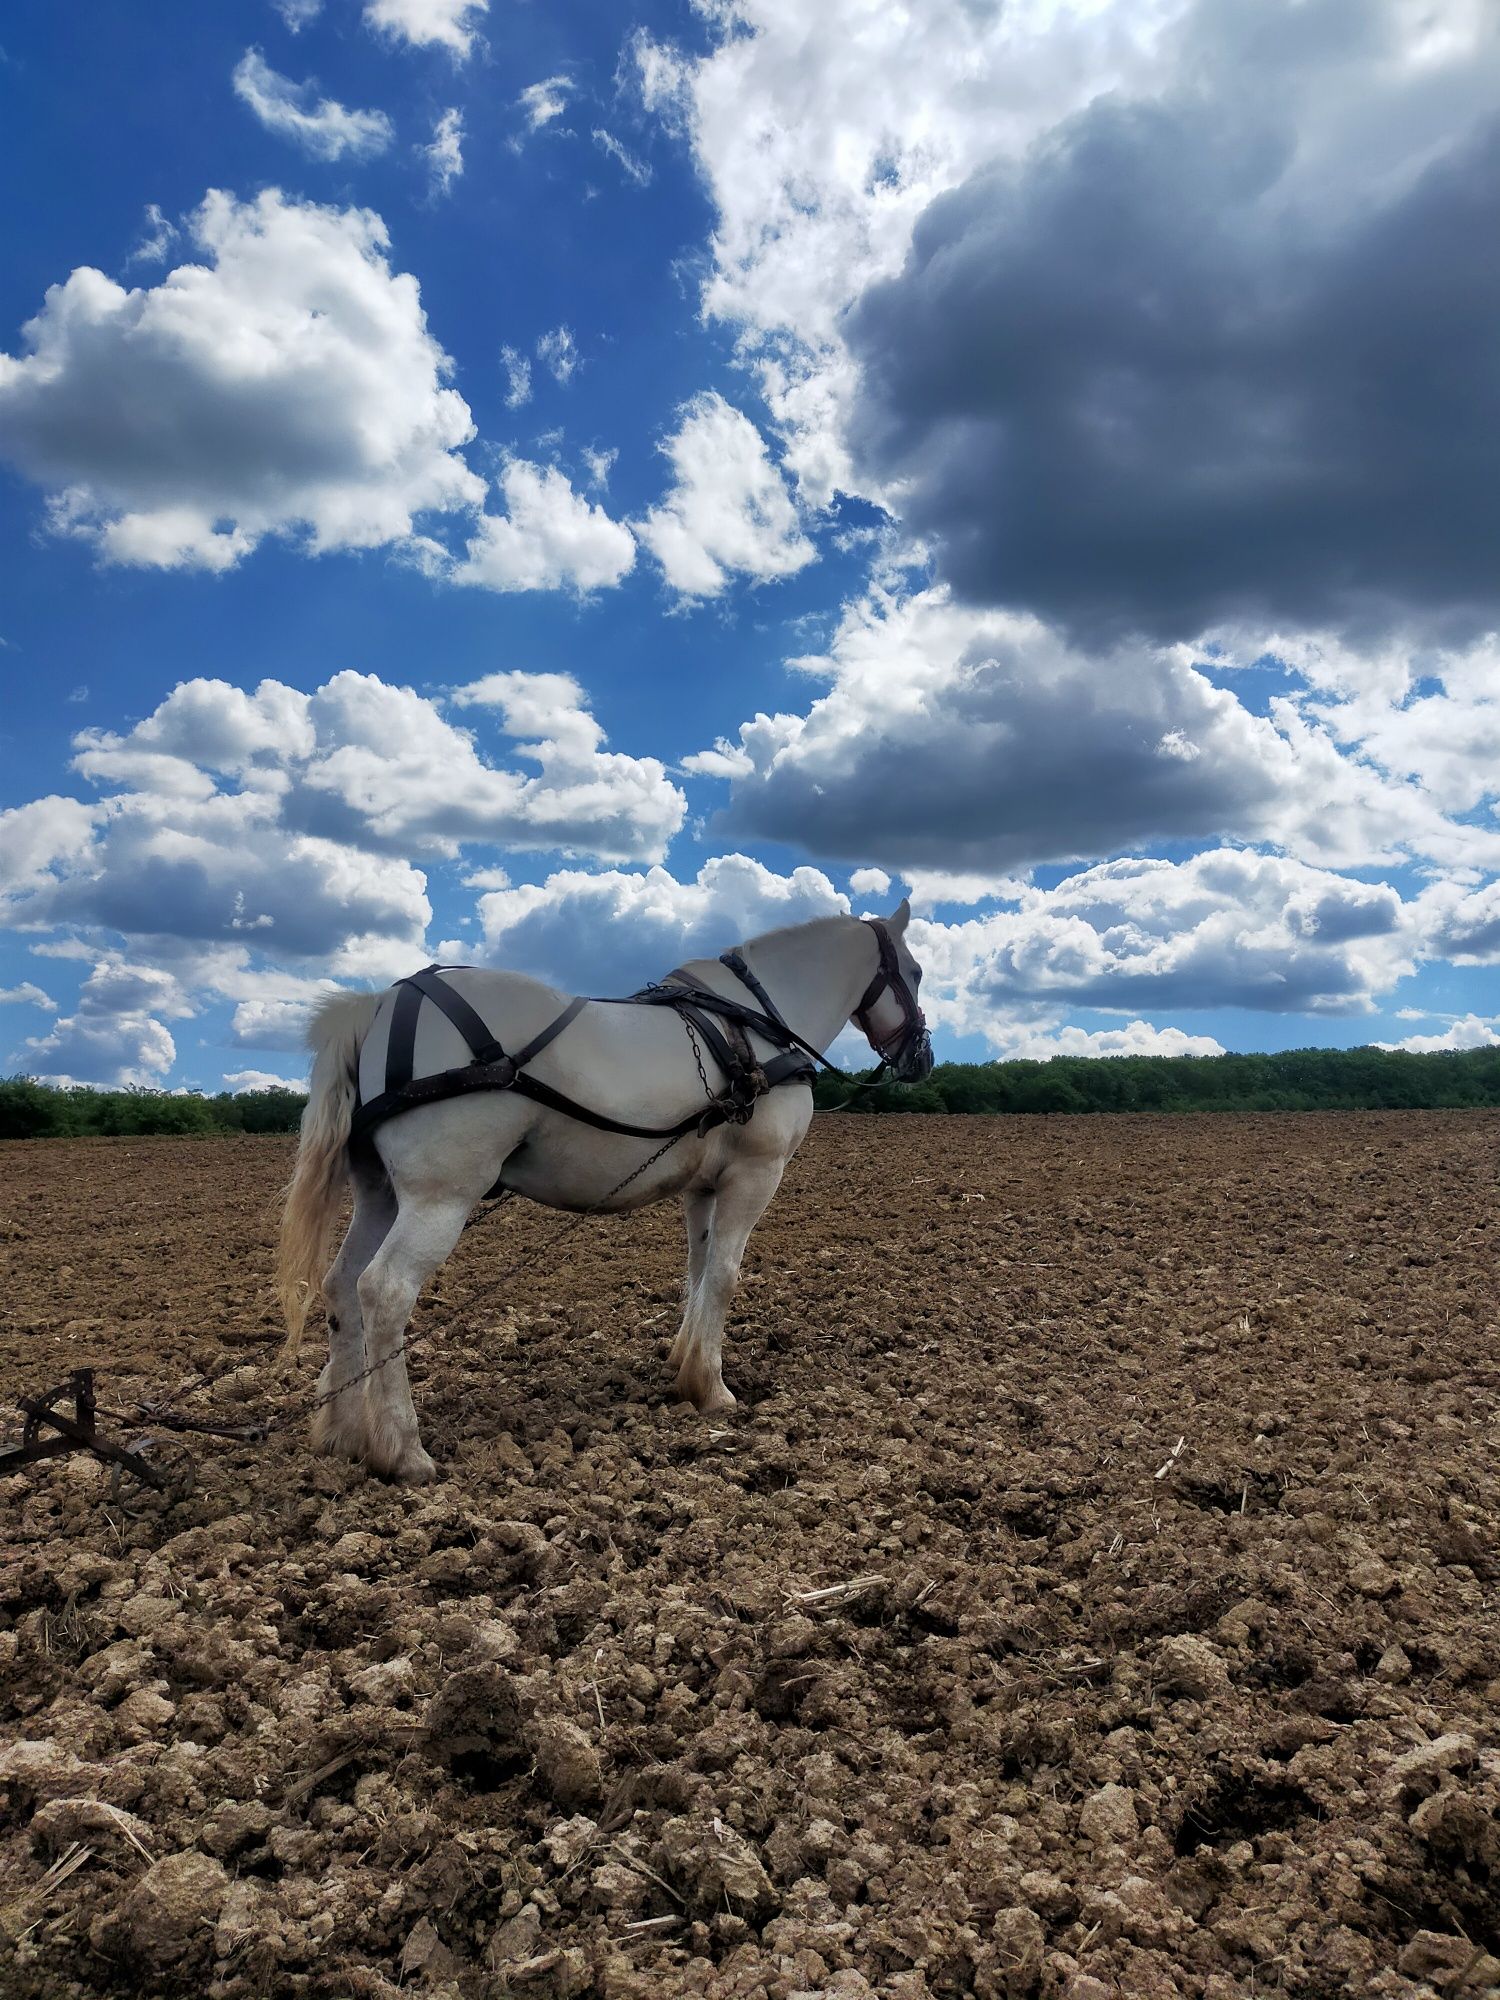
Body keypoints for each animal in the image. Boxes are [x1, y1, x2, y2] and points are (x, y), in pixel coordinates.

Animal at [272, 908, 928, 1488]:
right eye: (917, 971)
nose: (922, 1058)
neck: (753, 1024)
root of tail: (384, 1003)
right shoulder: (755, 1173)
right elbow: (724, 1275)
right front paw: (713, 1390)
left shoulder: (701, 1185)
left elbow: (696, 1270)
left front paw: (682, 1363)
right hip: (440, 1197)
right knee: (384, 1291)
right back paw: (402, 1451)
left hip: (381, 1194)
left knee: (341, 1287)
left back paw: (343, 1432)